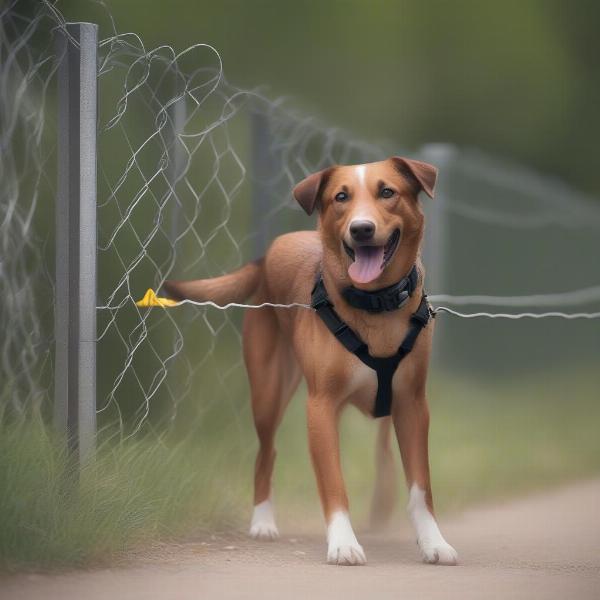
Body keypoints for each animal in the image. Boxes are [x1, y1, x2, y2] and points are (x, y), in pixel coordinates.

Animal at [162, 156, 458, 568]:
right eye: (341, 197)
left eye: (387, 192)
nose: (362, 229)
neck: (375, 304)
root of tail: (268, 254)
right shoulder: (320, 407)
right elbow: (333, 482)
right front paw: (343, 543)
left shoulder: (413, 405)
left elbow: (420, 486)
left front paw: (433, 542)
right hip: (268, 393)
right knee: (266, 454)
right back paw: (263, 521)